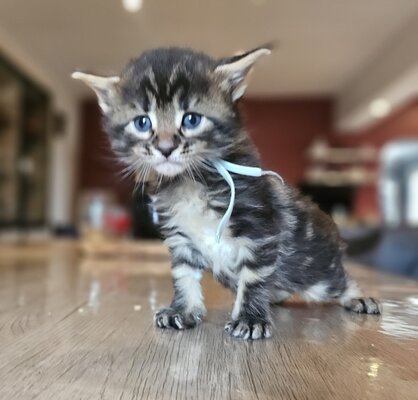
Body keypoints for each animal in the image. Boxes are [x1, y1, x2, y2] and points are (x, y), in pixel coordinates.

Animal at [73, 46, 380, 340]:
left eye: (191, 119)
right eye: (142, 123)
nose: (165, 147)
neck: (192, 181)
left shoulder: (260, 231)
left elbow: (253, 278)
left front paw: (250, 318)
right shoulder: (180, 239)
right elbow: (183, 276)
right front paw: (183, 310)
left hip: (316, 275)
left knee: (339, 280)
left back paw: (359, 297)